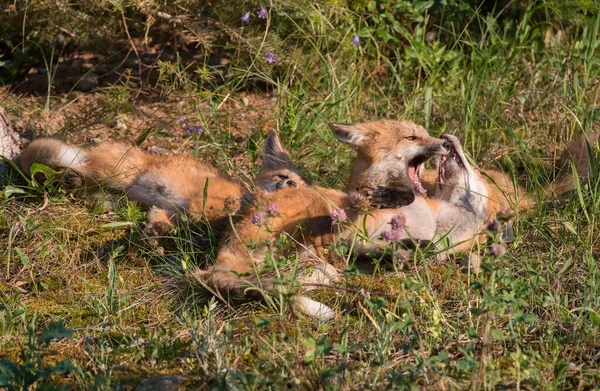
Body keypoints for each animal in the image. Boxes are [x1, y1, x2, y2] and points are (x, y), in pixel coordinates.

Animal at [20, 136, 308, 234]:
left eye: (294, 184)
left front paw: (155, 232)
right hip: (113, 174)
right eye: (282, 177)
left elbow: (160, 221)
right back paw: (61, 177)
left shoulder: (169, 210)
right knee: (60, 165)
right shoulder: (199, 201)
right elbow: (206, 211)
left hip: (111, 197)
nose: (285, 183)